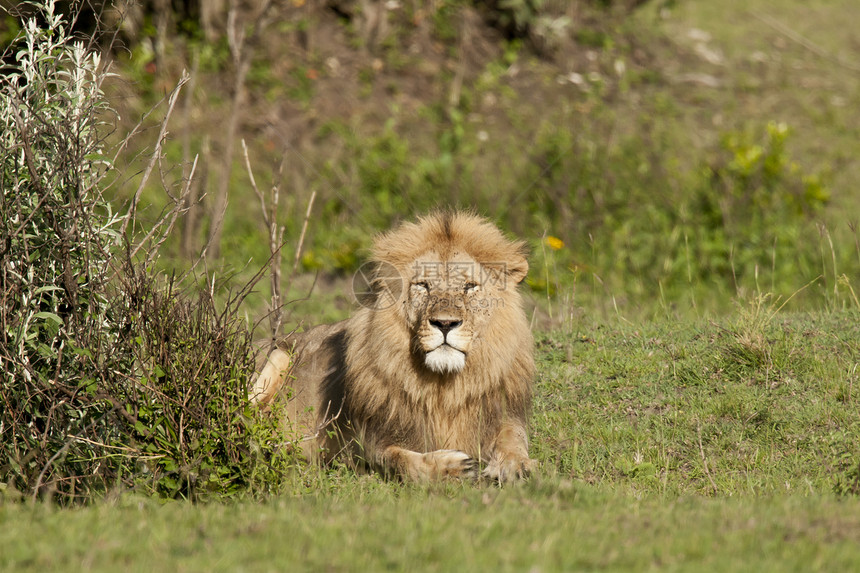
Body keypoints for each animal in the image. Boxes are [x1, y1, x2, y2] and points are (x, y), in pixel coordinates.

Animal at [249, 212, 536, 480]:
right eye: (423, 286)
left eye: (469, 287)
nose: (445, 323)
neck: (444, 387)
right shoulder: (366, 446)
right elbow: (401, 461)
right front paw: (453, 467)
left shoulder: (504, 413)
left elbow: (514, 437)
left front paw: (514, 466)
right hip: (277, 355)